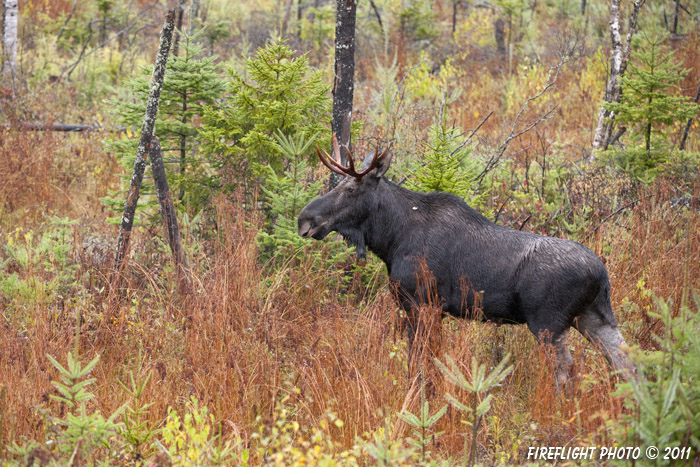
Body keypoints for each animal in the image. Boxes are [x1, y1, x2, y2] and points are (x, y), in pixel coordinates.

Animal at [298, 137, 632, 386]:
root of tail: (602, 276)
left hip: (548, 322)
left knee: (566, 372)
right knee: (626, 364)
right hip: (594, 318)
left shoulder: (424, 304)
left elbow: (421, 364)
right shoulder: (426, 309)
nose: (305, 219)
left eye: (351, 188)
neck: (391, 239)